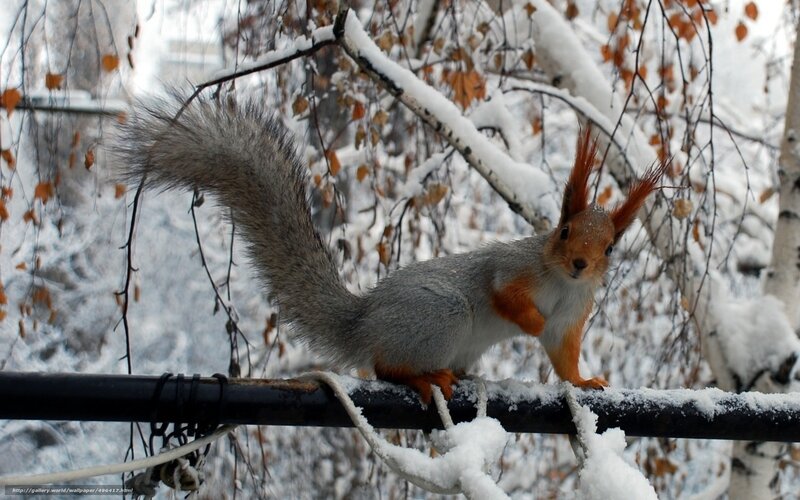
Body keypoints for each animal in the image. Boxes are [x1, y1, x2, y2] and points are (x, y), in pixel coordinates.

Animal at [115, 94, 667, 404]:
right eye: (564, 231)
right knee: (386, 367)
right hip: (441, 315)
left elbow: (561, 353)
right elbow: (504, 294)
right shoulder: (512, 267)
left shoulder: (573, 313)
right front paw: (527, 320)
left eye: (611, 248)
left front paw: (583, 382)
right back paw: (422, 378)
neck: (557, 281)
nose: (579, 264)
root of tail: (365, 321)